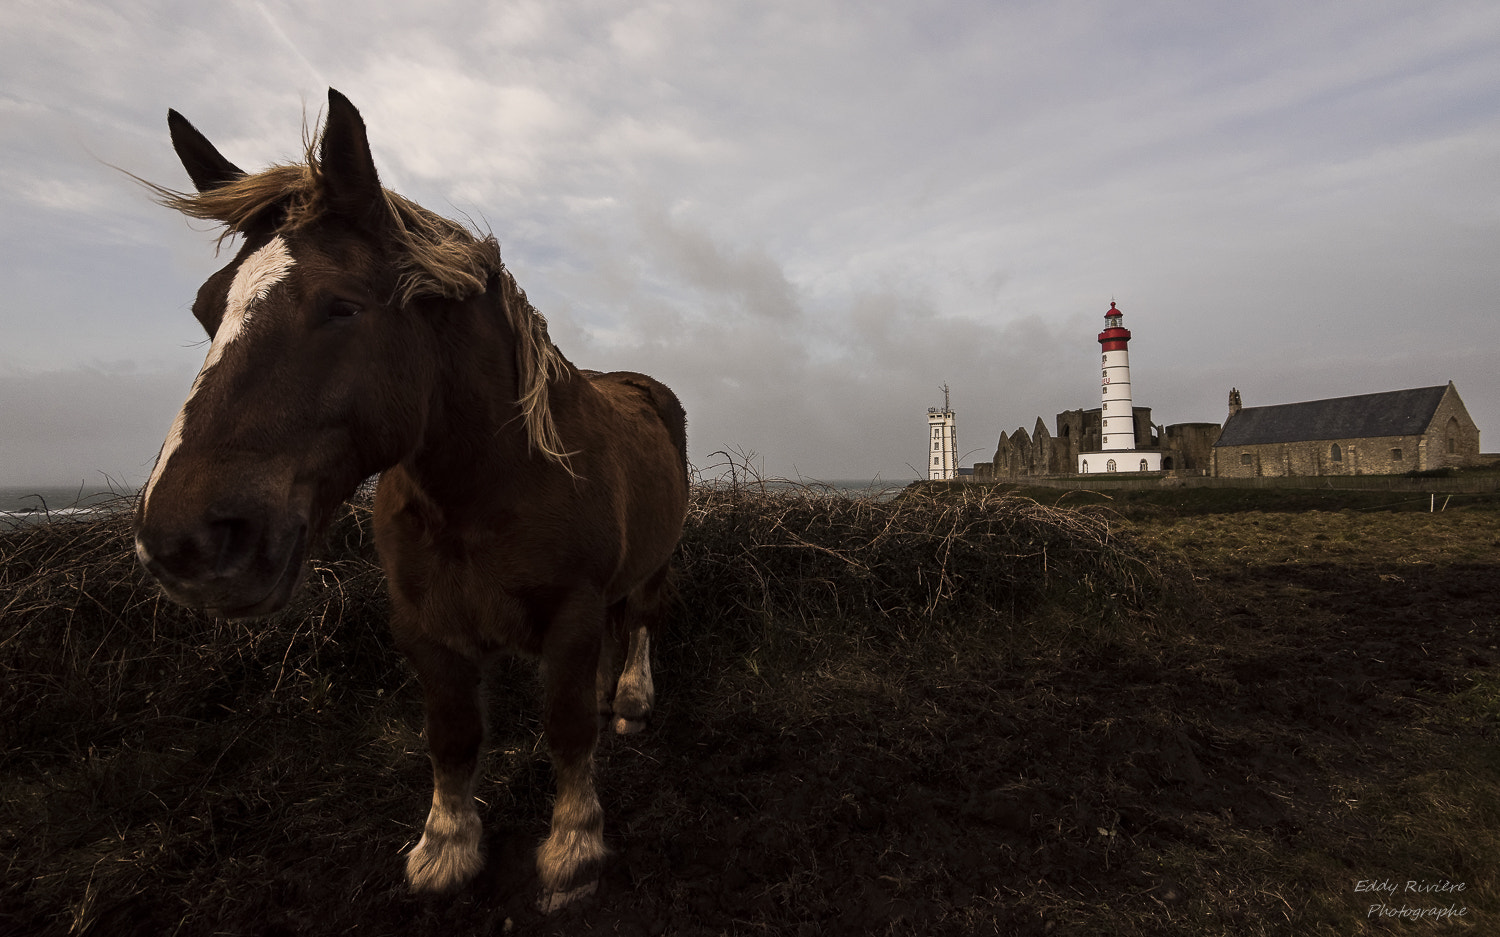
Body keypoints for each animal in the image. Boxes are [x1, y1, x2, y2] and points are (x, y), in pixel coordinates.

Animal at [132, 91, 687, 911]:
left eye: (342, 306)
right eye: (206, 311)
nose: (184, 540)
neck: (484, 492)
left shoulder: (571, 615)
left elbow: (566, 729)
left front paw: (574, 849)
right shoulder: (425, 626)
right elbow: (451, 735)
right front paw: (447, 847)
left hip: (651, 564)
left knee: (641, 620)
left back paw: (633, 699)